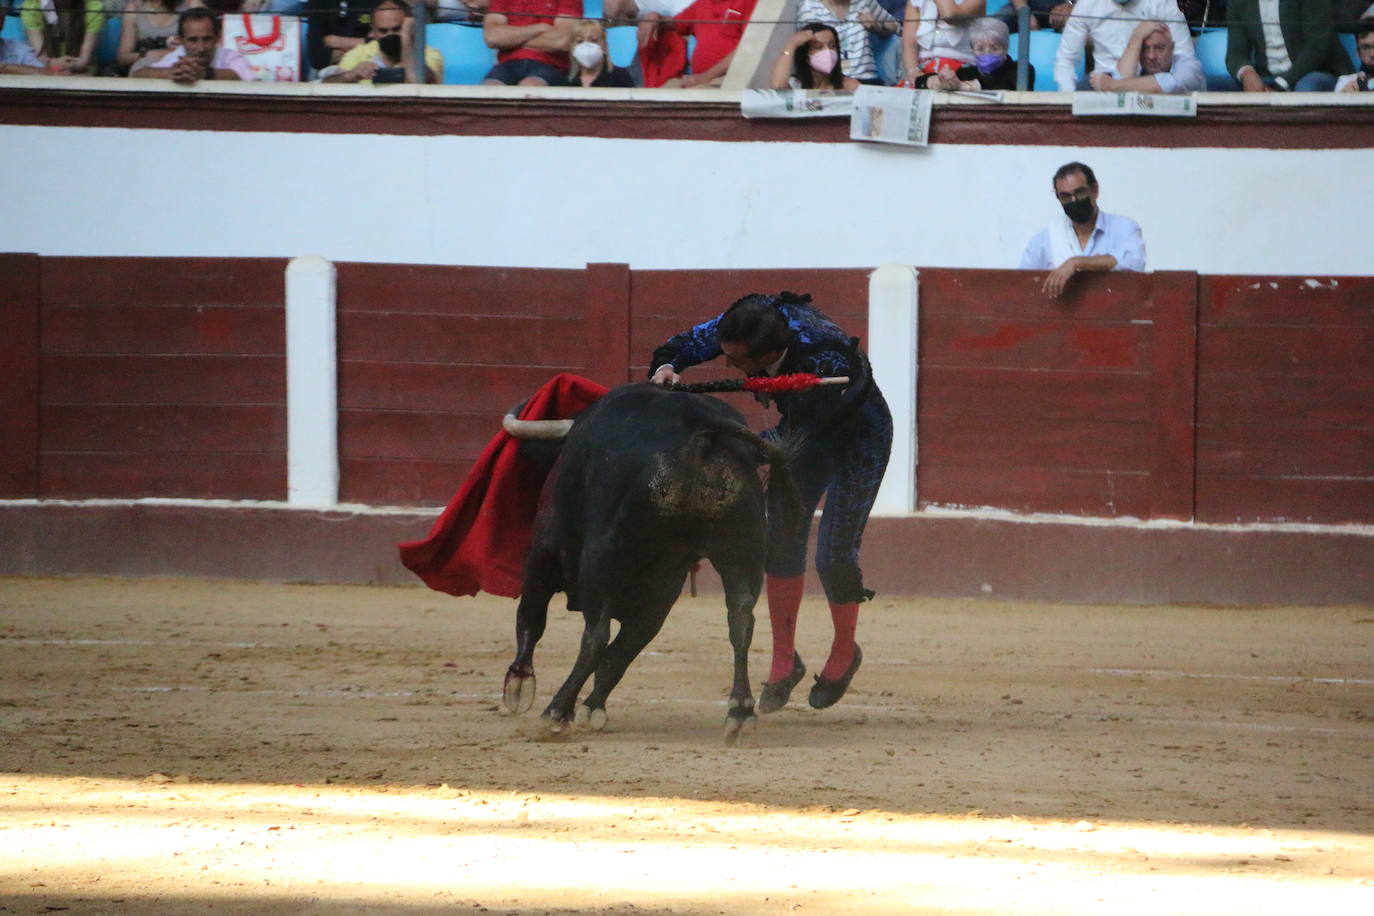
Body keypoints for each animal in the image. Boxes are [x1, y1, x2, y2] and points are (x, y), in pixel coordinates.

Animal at [500, 384, 802, 747]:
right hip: (741, 550)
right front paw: (593, 707)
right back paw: (739, 712)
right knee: (740, 620)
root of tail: (695, 421)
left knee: (595, 635)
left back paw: (556, 711)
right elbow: (623, 651)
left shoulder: (544, 549)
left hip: (601, 557)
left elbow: (532, 618)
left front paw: (519, 686)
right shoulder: (663, 588)